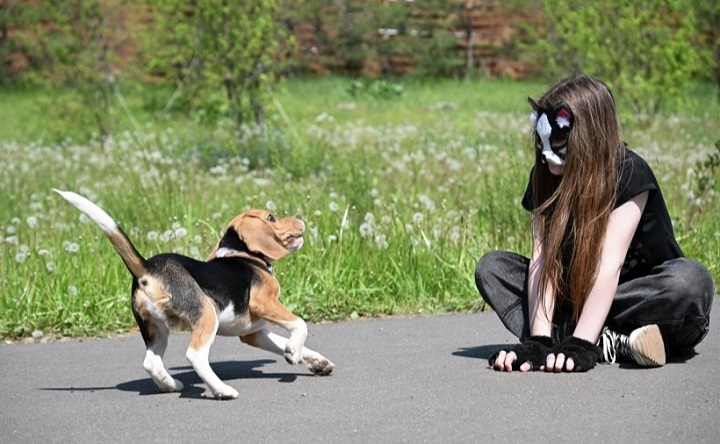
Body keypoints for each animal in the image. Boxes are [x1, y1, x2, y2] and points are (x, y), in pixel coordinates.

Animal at [54, 190, 336, 398]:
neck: (243, 255)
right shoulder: (264, 302)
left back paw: (170, 385)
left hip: (156, 328)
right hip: (206, 314)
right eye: (271, 218)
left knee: (151, 362)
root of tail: (147, 268)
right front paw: (293, 352)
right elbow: (300, 324)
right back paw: (221, 390)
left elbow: (286, 342)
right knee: (195, 355)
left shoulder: (253, 333)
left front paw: (314, 361)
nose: (299, 215)